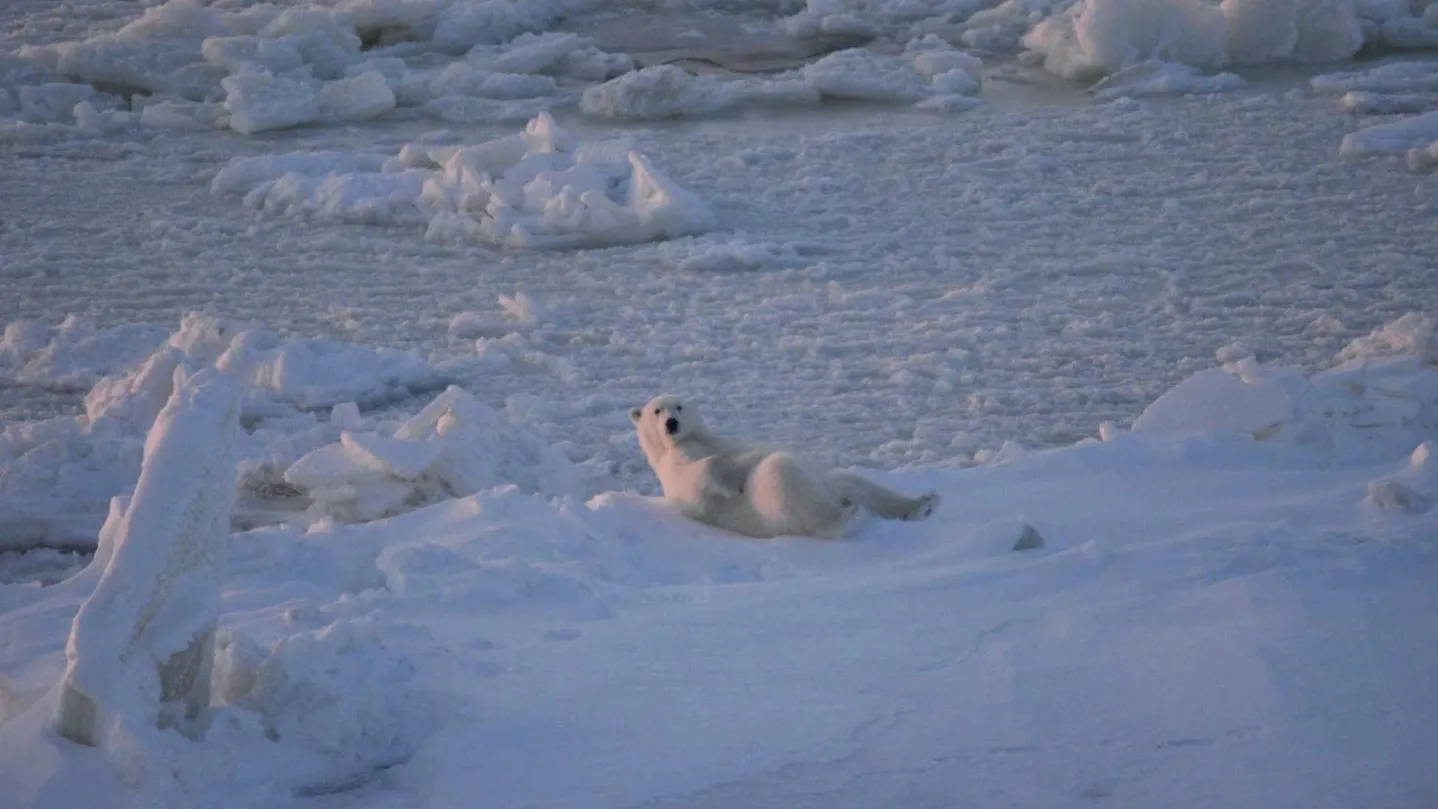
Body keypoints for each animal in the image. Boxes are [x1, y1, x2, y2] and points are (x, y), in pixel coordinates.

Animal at [626, 393, 937, 537]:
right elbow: (697, 476)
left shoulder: (717, 441)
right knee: (782, 474)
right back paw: (843, 517)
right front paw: (733, 486)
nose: (672, 423)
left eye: (679, 407)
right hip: (773, 509)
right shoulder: (676, 467)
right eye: (657, 411)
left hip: (827, 482)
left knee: (856, 483)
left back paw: (924, 503)